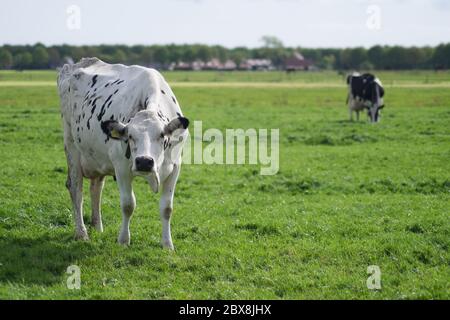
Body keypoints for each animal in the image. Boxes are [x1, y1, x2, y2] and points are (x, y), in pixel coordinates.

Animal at [57, 57, 189, 249]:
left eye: (161, 135)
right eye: (130, 136)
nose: (144, 161)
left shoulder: (175, 167)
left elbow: (166, 208)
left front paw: (167, 244)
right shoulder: (121, 167)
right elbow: (128, 205)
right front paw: (124, 240)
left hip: (97, 156)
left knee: (96, 189)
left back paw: (97, 226)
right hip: (71, 145)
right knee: (76, 188)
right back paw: (82, 233)